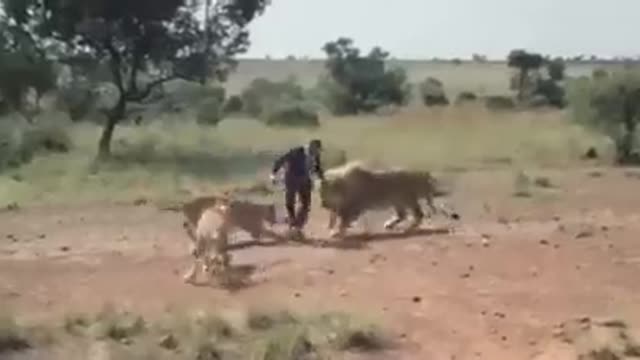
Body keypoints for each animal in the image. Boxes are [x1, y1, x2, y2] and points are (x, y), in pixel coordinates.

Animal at [320, 162, 460, 238]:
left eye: (326, 193)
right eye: (320, 193)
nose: (323, 205)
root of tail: (424, 175)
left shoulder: (354, 206)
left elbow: (343, 220)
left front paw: (337, 232)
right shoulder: (342, 206)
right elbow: (336, 217)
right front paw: (334, 227)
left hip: (408, 198)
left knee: (418, 214)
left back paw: (408, 229)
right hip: (398, 201)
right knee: (403, 215)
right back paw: (390, 224)